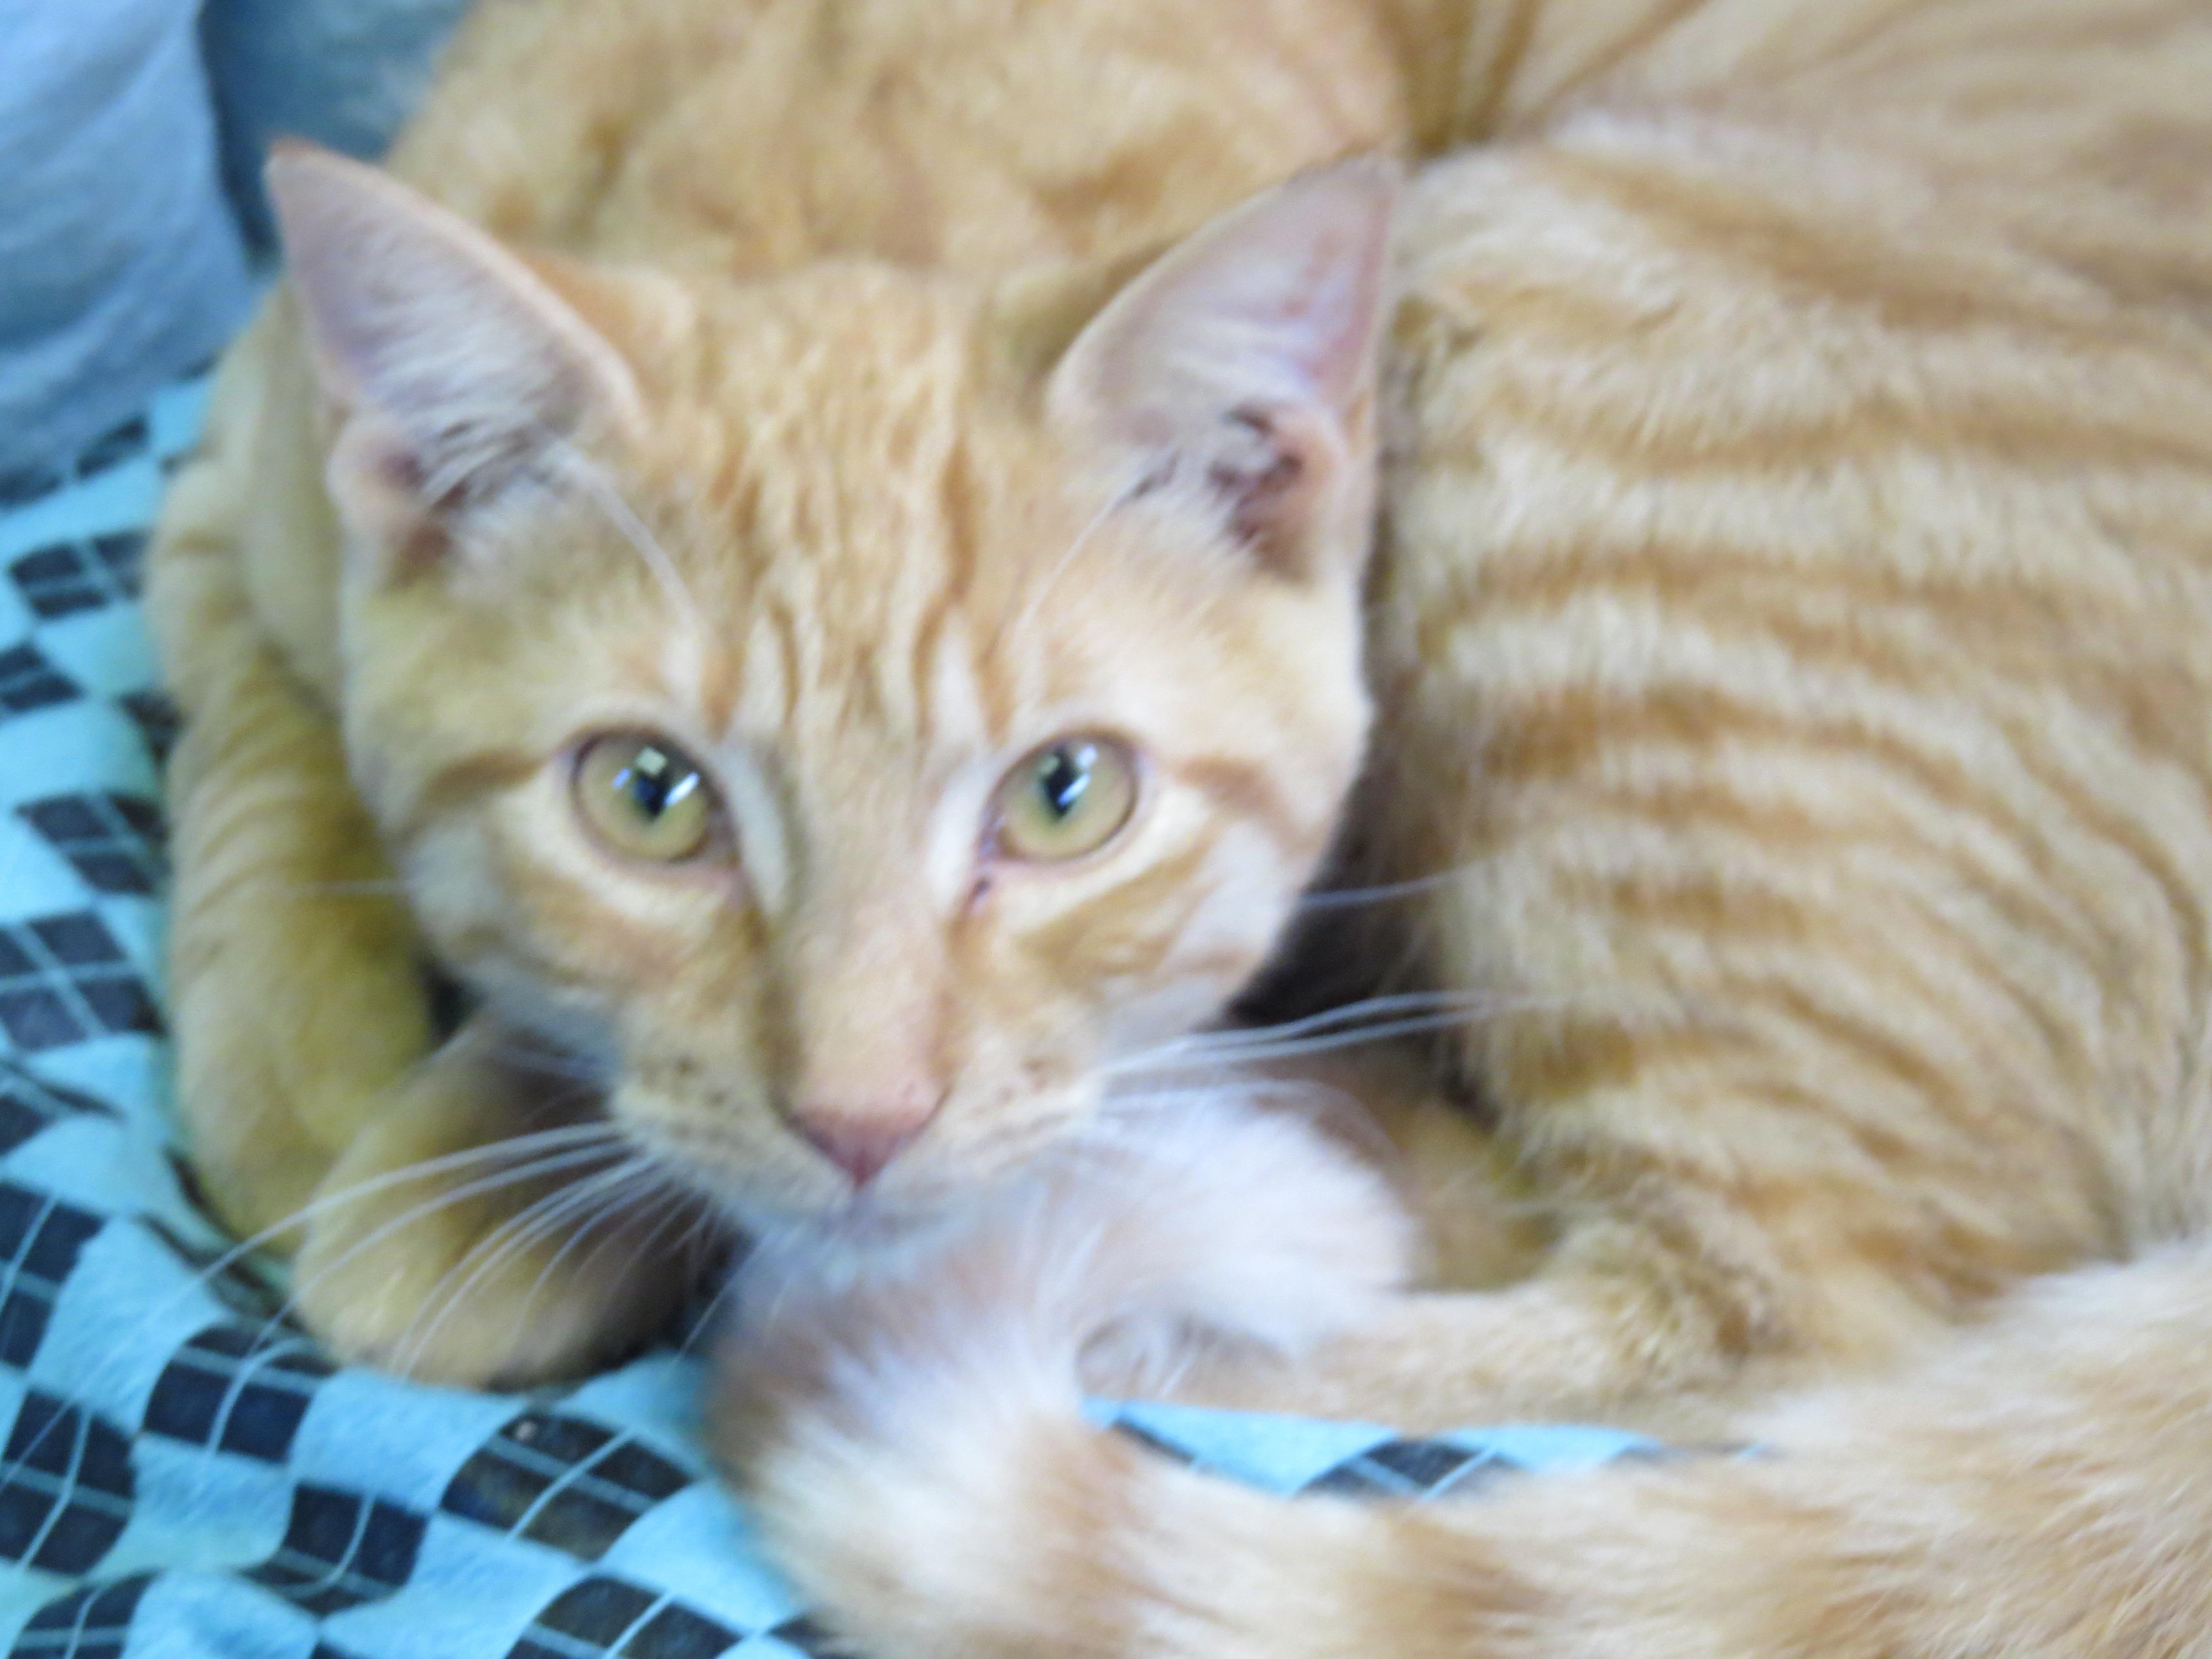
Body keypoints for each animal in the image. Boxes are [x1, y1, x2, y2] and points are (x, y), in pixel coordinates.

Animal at [152, 0, 2212, 1655]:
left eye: (1066, 797)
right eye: (648, 802)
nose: (863, 1120)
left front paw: (464, 1183)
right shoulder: (223, 462)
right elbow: (249, 761)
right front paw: (318, 1090)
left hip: (1543, 318)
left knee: (1798, 1305)